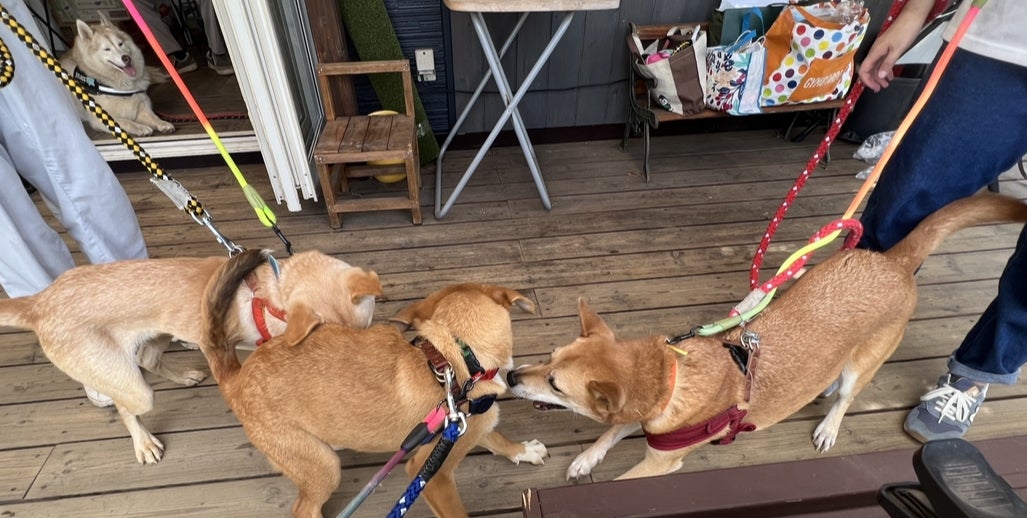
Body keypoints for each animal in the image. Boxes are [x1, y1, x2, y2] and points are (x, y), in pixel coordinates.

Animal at [0, 250, 381, 464]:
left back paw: (184, 376)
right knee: (125, 406)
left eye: (367, 331)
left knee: (149, 359)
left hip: (158, 336)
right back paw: (142, 443)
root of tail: (38, 301)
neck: (271, 290)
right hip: (132, 386)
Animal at [201, 249, 547, 518]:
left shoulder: (467, 424)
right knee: (304, 508)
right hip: (324, 466)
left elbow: (496, 437)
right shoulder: (430, 473)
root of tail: (236, 378)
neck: (452, 356)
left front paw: (522, 450)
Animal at [507, 192, 1027, 481]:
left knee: (848, 396)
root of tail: (895, 261)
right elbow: (609, 433)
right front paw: (584, 460)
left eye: (555, 385)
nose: (510, 376)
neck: (671, 380)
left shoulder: (660, 461)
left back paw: (830, 424)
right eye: (549, 354)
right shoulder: (638, 416)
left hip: (865, 362)